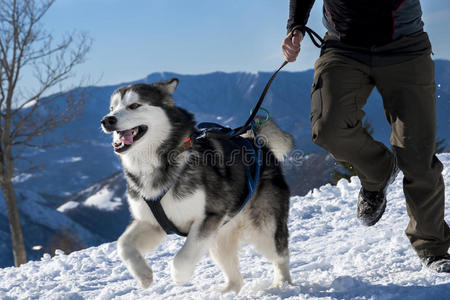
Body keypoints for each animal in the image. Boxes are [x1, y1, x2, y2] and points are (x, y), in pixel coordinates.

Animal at [100, 78, 294, 294]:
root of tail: (254, 139)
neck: (157, 164)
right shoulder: (151, 222)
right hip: (220, 238)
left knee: (280, 255)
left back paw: (282, 283)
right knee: (235, 275)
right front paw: (143, 276)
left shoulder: (209, 216)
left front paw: (179, 276)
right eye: (112, 108)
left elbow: (183, 257)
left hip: (264, 226)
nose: (107, 120)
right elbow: (123, 245)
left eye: (134, 105)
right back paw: (226, 292)